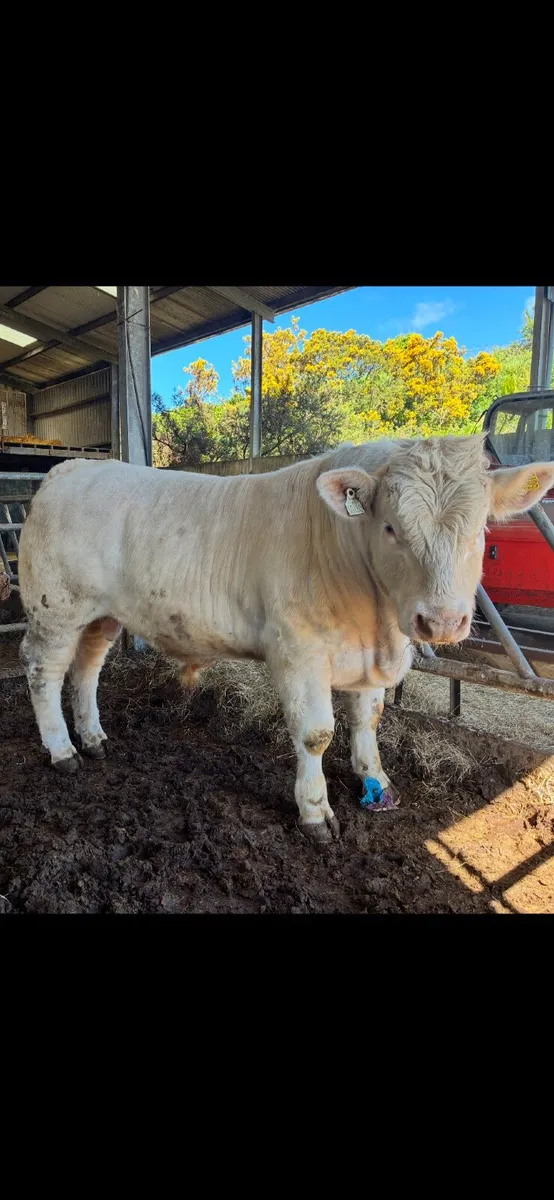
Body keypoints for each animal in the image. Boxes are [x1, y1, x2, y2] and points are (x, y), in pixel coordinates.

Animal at [17, 436, 554, 844]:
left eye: (481, 529)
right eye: (391, 528)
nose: (441, 621)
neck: (375, 625)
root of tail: (69, 470)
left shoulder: (367, 659)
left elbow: (369, 720)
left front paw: (376, 780)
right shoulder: (298, 652)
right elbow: (316, 734)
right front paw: (315, 812)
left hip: (101, 616)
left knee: (87, 669)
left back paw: (93, 738)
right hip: (55, 609)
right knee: (44, 673)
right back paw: (62, 750)